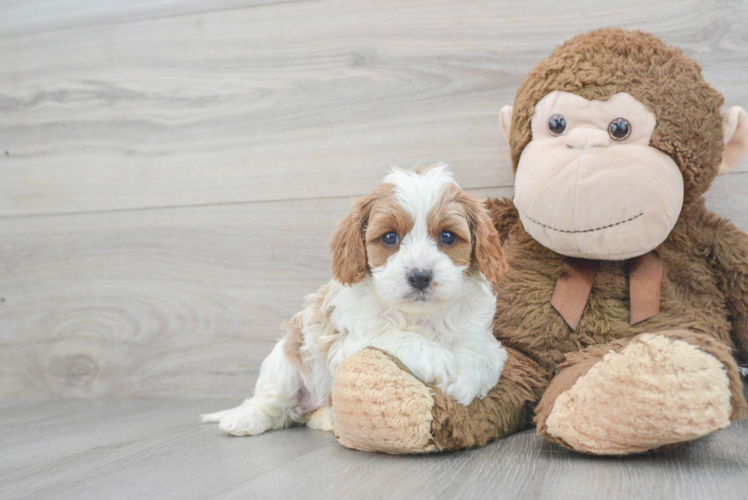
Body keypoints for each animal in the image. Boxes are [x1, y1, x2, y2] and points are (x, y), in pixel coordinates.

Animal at [202, 166, 508, 436]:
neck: (419, 315)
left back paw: (327, 418)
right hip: (285, 364)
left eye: (447, 236)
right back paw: (245, 419)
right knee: (271, 404)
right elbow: (392, 334)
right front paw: (436, 358)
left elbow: (489, 358)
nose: (420, 276)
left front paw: (465, 381)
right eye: (390, 237)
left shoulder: (482, 338)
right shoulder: (348, 341)